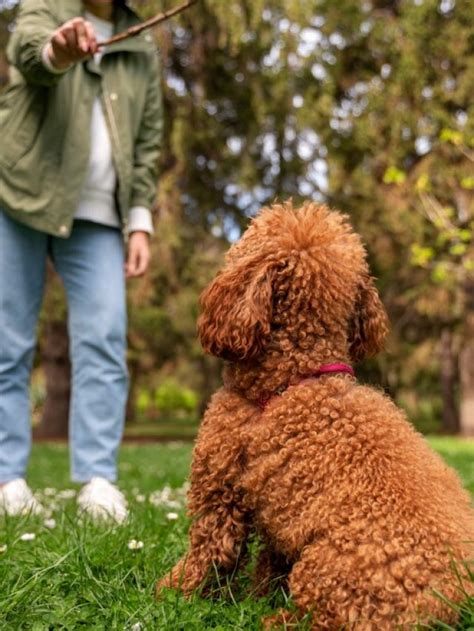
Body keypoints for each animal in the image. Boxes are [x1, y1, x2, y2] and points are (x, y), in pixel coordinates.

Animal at [158, 202, 474, 631]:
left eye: (246, 238)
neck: (296, 374)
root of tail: (451, 607)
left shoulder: (220, 490)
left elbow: (207, 554)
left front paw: (172, 593)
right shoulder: (280, 516)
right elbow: (268, 564)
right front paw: (256, 596)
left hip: (324, 568)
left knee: (321, 619)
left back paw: (273, 619)